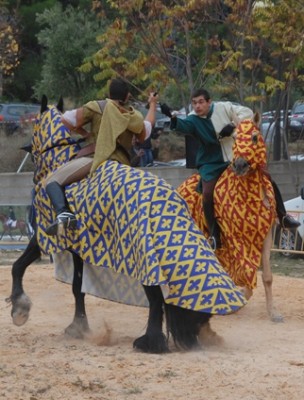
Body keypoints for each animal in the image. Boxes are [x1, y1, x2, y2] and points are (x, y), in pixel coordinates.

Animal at [177, 112, 284, 322]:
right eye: (235, 138)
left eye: (254, 137)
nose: (240, 165)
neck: (249, 197)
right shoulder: (235, 238)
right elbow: (245, 271)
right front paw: (238, 296)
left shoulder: (266, 234)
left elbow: (266, 276)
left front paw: (273, 313)